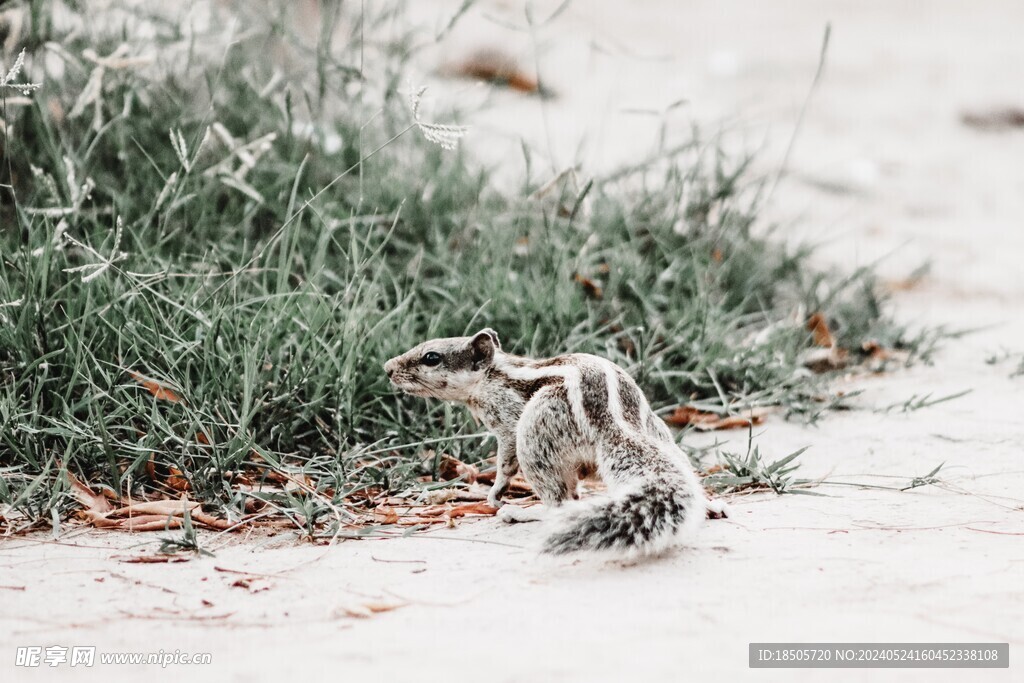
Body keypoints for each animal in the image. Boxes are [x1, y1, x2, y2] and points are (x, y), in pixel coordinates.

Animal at [385, 327, 729, 557]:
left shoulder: (507, 423)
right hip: (656, 432)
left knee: (559, 502)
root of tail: (613, 423)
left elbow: (505, 460)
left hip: (536, 431)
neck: (495, 374)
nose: (388, 368)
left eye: (431, 357)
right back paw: (711, 504)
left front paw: (496, 492)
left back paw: (525, 513)